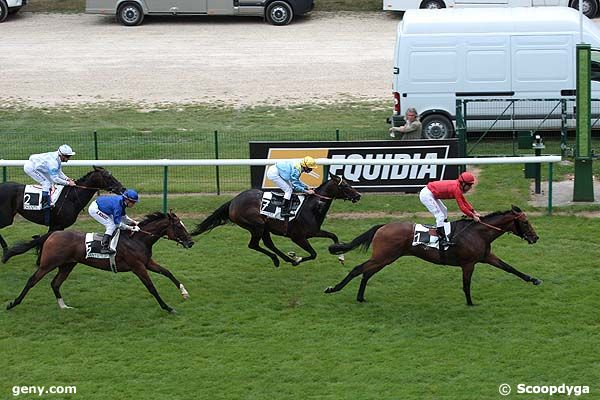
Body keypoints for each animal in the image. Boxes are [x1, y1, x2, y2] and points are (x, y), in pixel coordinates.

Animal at [2, 211, 195, 314]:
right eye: (179, 226)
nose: (191, 242)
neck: (137, 239)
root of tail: (53, 233)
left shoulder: (147, 262)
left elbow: (168, 272)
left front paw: (184, 292)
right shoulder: (138, 267)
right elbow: (151, 288)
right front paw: (168, 307)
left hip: (68, 264)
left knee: (55, 283)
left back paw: (64, 306)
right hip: (48, 264)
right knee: (32, 281)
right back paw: (13, 303)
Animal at [192, 173, 360, 268]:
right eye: (345, 185)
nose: (358, 195)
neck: (312, 207)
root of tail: (233, 201)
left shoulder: (314, 231)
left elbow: (333, 236)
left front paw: (341, 257)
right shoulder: (298, 237)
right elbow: (313, 254)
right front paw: (297, 258)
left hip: (264, 227)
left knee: (268, 244)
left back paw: (285, 258)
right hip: (257, 225)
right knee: (254, 245)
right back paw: (281, 259)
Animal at [326, 206, 540, 306]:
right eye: (526, 222)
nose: (535, 237)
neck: (478, 233)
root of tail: (383, 226)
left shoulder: (487, 257)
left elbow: (510, 268)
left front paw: (534, 279)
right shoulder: (468, 264)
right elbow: (466, 284)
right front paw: (470, 303)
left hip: (385, 258)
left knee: (366, 273)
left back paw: (360, 297)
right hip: (384, 256)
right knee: (358, 269)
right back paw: (333, 288)